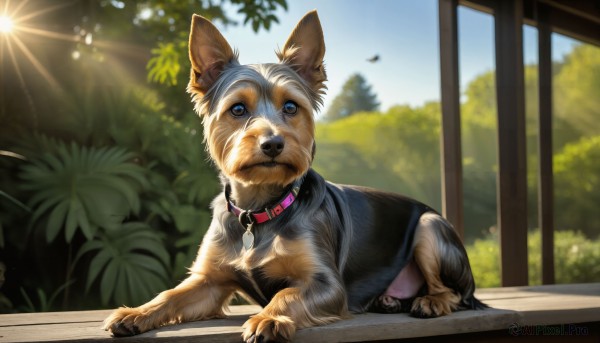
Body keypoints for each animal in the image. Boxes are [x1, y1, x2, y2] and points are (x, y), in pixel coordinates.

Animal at [104, 9, 488, 342]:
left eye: (291, 106)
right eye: (237, 109)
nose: (273, 143)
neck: (258, 210)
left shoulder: (326, 283)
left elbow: (286, 293)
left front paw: (268, 318)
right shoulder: (209, 281)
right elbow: (170, 294)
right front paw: (134, 313)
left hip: (430, 227)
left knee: (457, 293)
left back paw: (431, 301)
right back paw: (389, 300)